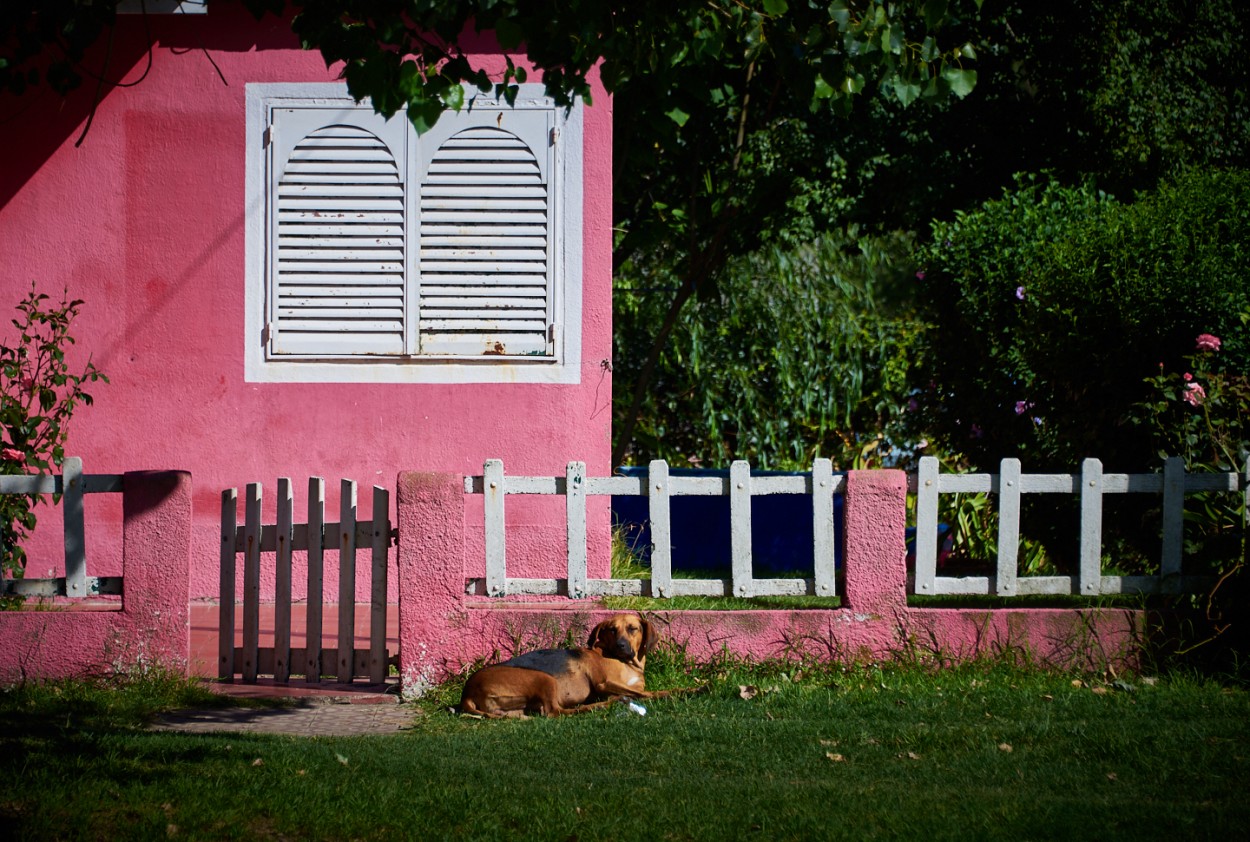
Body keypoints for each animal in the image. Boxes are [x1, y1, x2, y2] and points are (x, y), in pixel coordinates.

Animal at [457, 609, 655, 714]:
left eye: (633, 629)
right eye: (612, 630)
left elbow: (640, 691)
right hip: (543, 678)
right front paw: (662, 693)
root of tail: (467, 693)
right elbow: (648, 694)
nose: (621, 645)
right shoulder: (603, 683)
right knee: (556, 711)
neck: (627, 663)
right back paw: (602, 705)